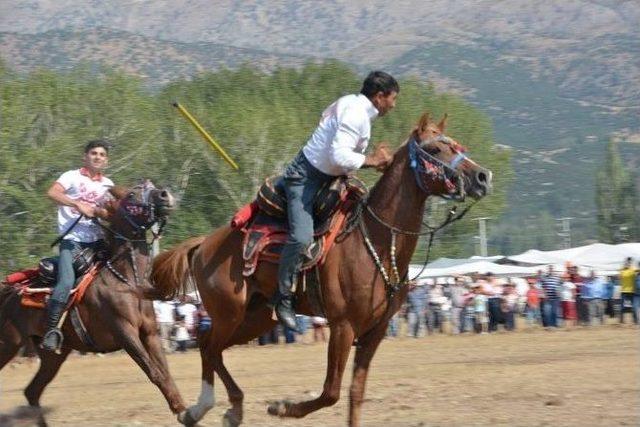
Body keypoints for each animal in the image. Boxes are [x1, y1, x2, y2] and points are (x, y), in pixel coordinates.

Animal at [0, 182, 189, 422]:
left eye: (151, 185)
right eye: (131, 194)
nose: (165, 195)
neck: (128, 282)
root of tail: (9, 293)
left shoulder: (149, 332)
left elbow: (165, 373)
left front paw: (183, 410)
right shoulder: (125, 333)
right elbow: (154, 372)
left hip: (52, 355)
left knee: (32, 391)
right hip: (8, 344)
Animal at [152, 112, 492, 426]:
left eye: (455, 144)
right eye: (434, 149)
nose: (482, 176)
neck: (377, 240)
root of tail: (204, 244)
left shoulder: (375, 331)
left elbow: (355, 393)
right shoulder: (342, 326)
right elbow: (331, 392)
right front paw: (281, 407)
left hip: (256, 318)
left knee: (211, 346)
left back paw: (227, 408)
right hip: (228, 313)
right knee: (208, 345)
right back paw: (202, 407)